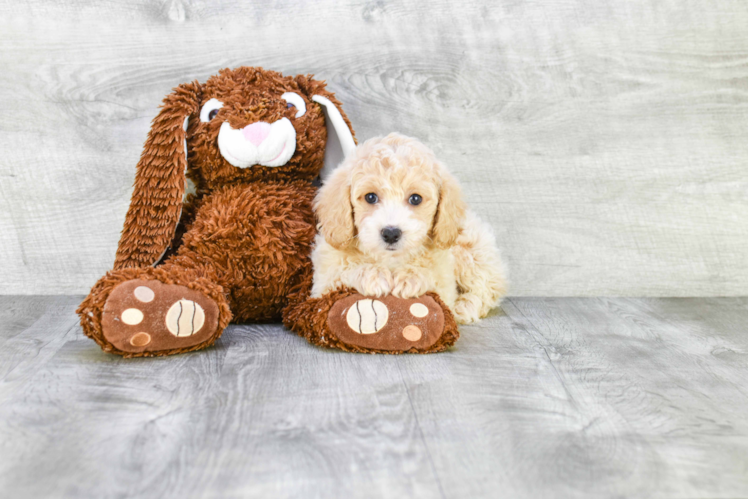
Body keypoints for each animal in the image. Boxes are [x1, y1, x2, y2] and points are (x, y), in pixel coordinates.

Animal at [310, 132, 508, 324]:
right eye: (370, 197)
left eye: (415, 199)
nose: (391, 233)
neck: (391, 260)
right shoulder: (322, 283)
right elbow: (342, 271)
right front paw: (373, 274)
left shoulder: (445, 283)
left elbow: (435, 280)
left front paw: (411, 277)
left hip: (473, 252)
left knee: (487, 288)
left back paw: (465, 306)